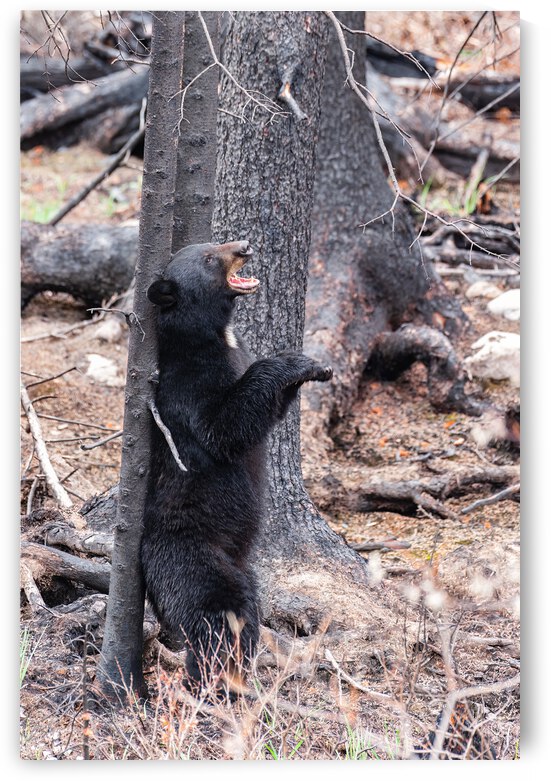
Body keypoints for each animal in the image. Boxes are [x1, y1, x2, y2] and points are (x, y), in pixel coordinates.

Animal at [141, 239, 332, 691]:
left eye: (213, 242)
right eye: (210, 258)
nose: (244, 246)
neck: (215, 337)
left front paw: (315, 366)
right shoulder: (190, 390)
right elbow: (225, 427)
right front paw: (291, 363)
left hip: (245, 568)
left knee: (247, 613)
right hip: (192, 558)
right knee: (216, 615)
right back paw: (218, 681)